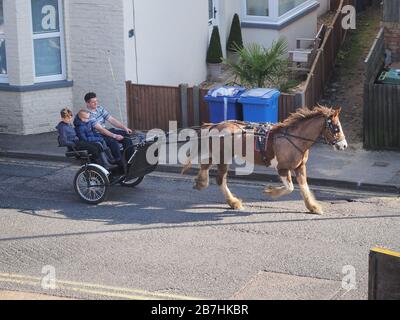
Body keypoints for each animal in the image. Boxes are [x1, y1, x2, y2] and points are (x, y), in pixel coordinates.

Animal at [181, 105, 346, 215]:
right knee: (220, 179)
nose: (344, 145)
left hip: (217, 154)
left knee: (205, 165)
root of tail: (216, 125)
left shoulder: (300, 167)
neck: (293, 138)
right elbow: (290, 187)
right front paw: (270, 191)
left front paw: (313, 207)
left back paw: (201, 182)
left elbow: (304, 186)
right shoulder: (282, 168)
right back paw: (233, 202)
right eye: (336, 127)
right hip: (223, 157)